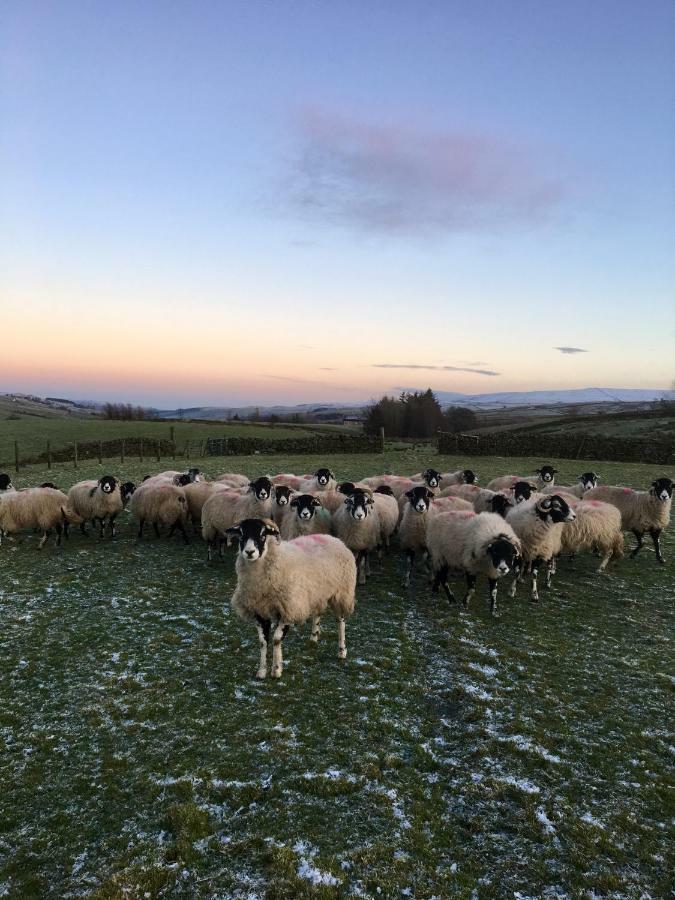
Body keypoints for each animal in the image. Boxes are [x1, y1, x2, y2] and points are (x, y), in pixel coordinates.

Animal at [226, 516, 356, 680]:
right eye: (241, 535)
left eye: (263, 535)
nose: (249, 552)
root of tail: (333, 538)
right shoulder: (259, 611)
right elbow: (262, 641)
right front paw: (261, 671)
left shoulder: (289, 609)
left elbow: (276, 639)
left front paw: (276, 670)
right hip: (317, 592)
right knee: (318, 612)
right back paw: (314, 637)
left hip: (341, 593)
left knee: (341, 621)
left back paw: (342, 650)